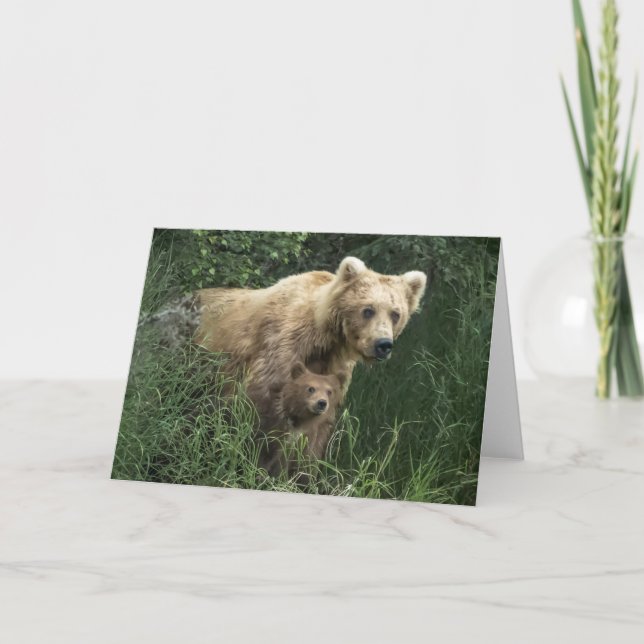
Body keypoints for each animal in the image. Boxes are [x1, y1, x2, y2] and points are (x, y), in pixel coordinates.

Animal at [193, 256, 427, 416]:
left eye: (395, 313)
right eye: (368, 310)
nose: (383, 344)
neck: (325, 338)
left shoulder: (332, 364)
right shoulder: (281, 348)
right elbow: (259, 398)